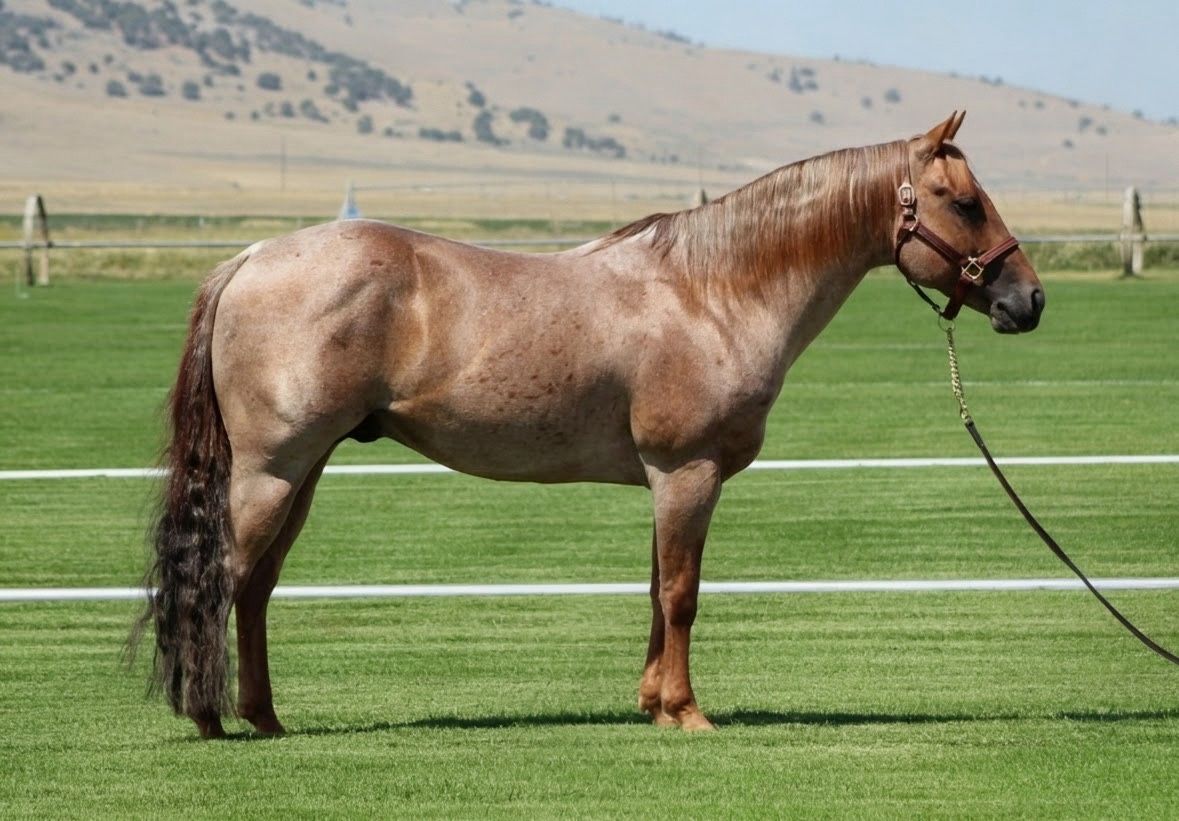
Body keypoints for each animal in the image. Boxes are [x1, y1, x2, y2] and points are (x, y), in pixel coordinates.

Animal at [136, 112, 1044, 738]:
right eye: (964, 203)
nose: (1027, 300)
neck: (711, 291)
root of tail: (248, 259)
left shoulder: (663, 480)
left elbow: (654, 589)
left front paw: (653, 703)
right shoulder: (686, 473)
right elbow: (681, 593)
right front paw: (687, 711)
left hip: (305, 471)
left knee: (255, 587)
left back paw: (263, 715)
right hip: (272, 471)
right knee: (224, 577)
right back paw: (212, 716)